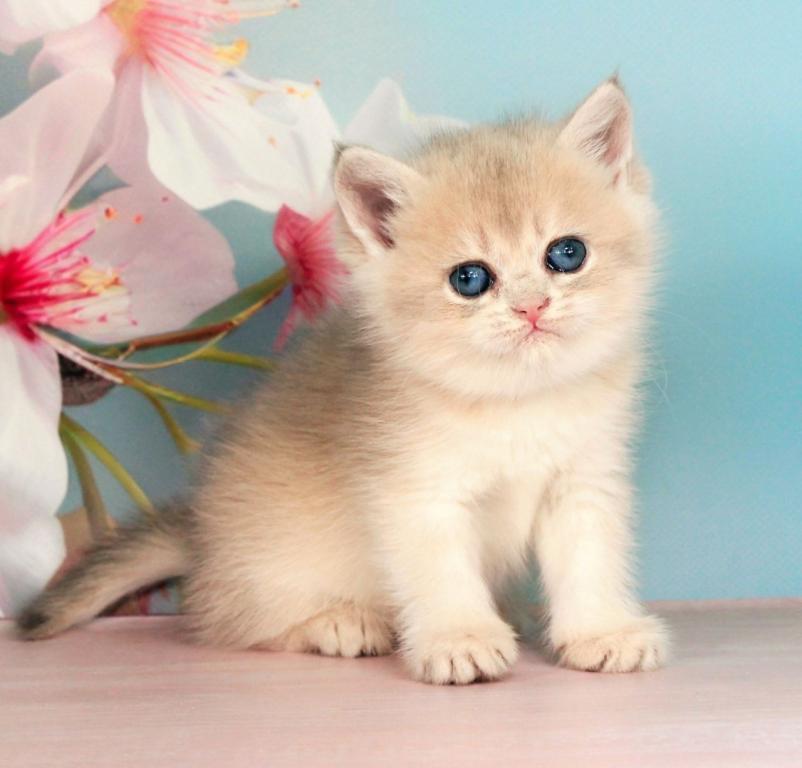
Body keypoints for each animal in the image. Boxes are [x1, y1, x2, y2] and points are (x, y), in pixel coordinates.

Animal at [18, 77, 668, 685]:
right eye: (470, 279)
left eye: (567, 253)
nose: (532, 308)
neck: (514, 400)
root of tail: (200, 540)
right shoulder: (415, 492)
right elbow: (441, 572)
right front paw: (459, 639)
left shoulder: (583, 483)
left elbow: (589, 560)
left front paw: (600, 631)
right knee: (230, 619)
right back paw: (339, 621)